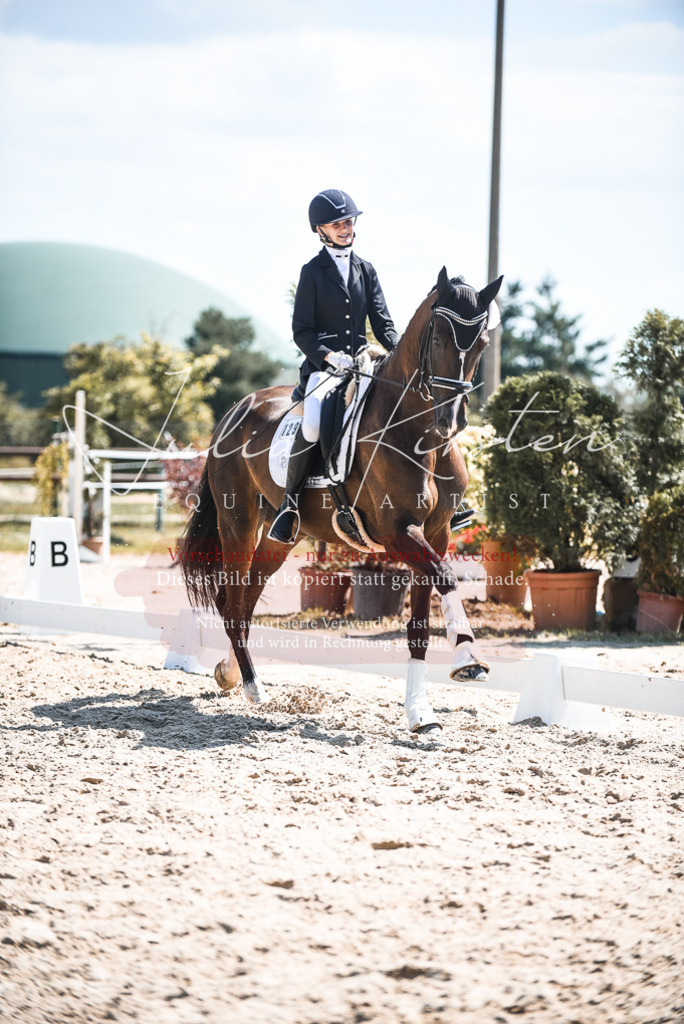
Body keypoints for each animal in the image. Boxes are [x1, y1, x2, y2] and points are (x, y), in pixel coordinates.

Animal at [181, 267, 503, 734]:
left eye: (481, 344)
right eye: (440, 338)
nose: (451, 421)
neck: (418, 435)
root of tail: (237, 408)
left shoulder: (437, 532)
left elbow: (420, 625)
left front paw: (420, 713)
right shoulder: (398, 533)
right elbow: (446, 578)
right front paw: (467, 657)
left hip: (280, 536)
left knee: (245, 598)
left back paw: (230, 673)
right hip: (236, 522)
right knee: (232, 601)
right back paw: (252, 686)